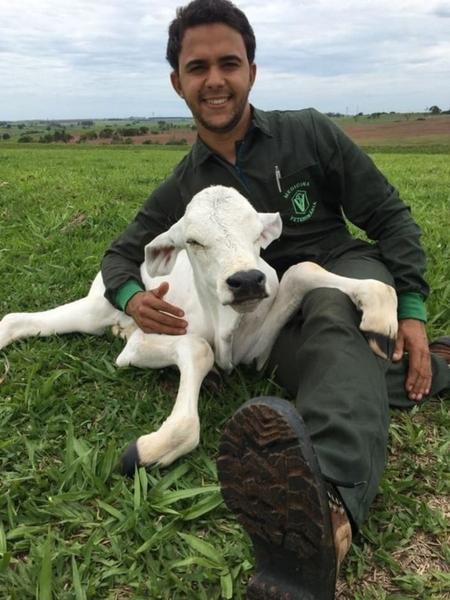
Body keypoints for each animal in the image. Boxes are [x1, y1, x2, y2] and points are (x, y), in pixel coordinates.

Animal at [0, 185, 398, 476]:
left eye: (257, 234)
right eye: (193, 241)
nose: (246, 280)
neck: (222, 323)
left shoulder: (256, 350)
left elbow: (303, 270)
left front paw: (379, 311)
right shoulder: (140, 344)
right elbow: (197, 349)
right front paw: (152, 447)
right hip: (95, 308)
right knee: (18, 319)